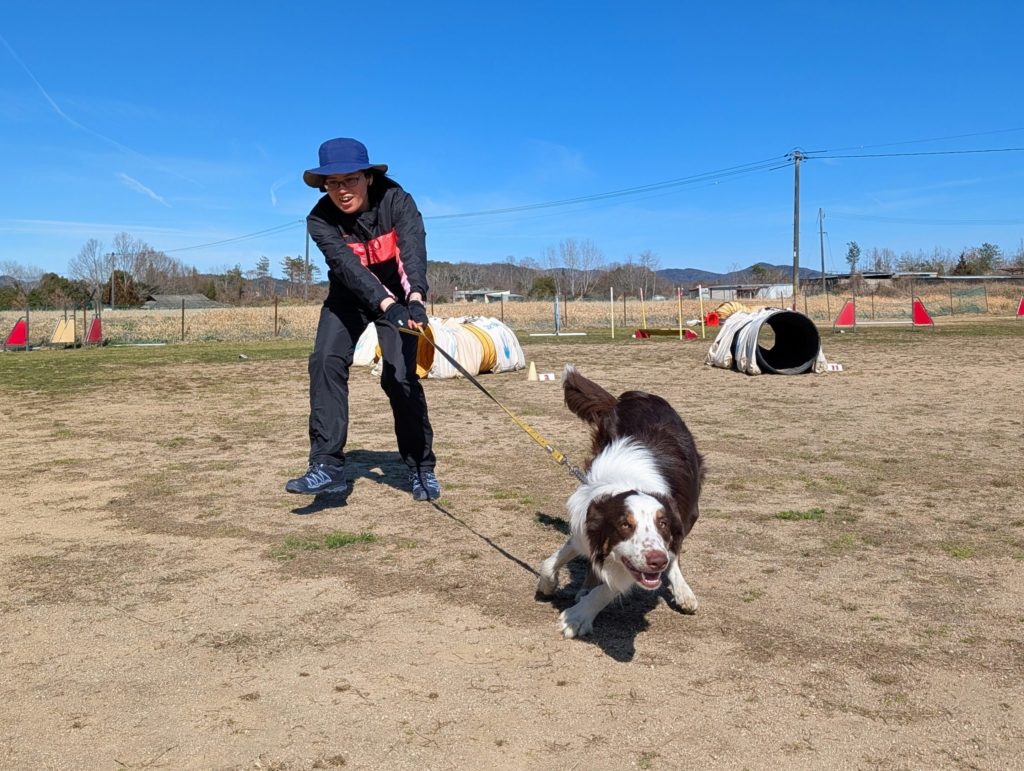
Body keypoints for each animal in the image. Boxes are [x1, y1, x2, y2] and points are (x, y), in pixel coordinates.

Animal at [537, 365, 704, 638]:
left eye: (662, 524)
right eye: (625, 525)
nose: (657, 561)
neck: (628, 482)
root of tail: (636, 395)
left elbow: (612, 587)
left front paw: (578, 616)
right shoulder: (585, 524)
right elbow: (553, 560)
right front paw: (549, 583)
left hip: (691, 509)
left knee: (675, 551)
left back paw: (682, 589)